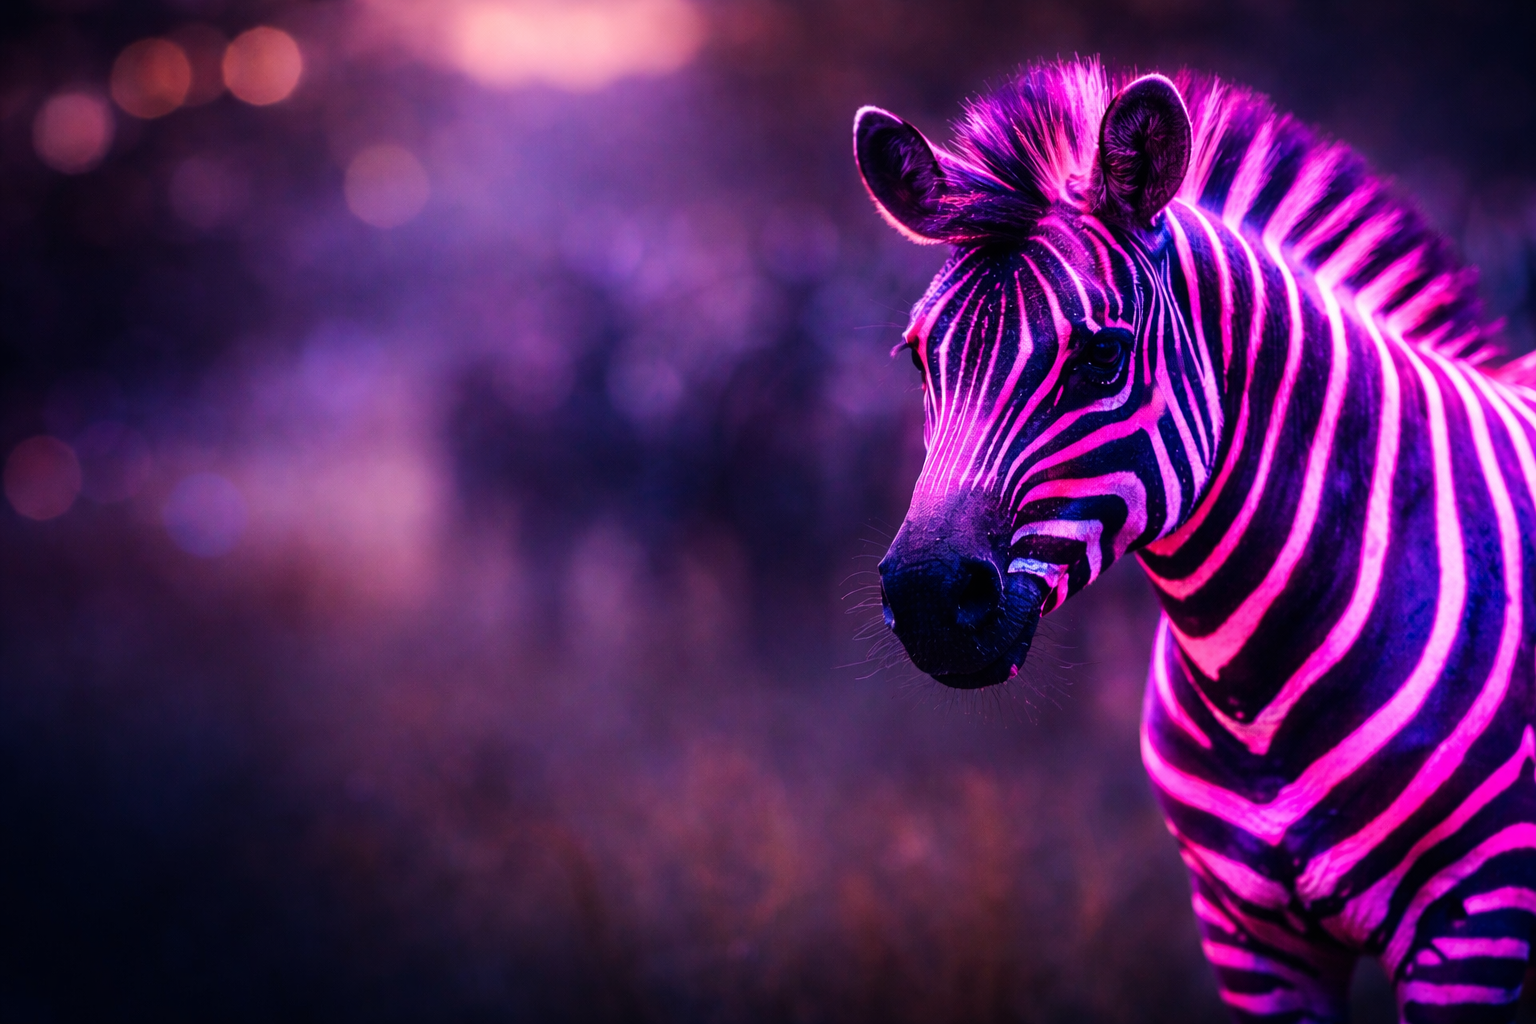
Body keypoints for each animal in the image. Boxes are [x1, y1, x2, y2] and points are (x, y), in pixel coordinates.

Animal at [854, 59, 1536, 1022]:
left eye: (1101, 358)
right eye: (920, 359)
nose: (926, 599)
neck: (1257, 682)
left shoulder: (1475, 923)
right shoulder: (1249, 936)